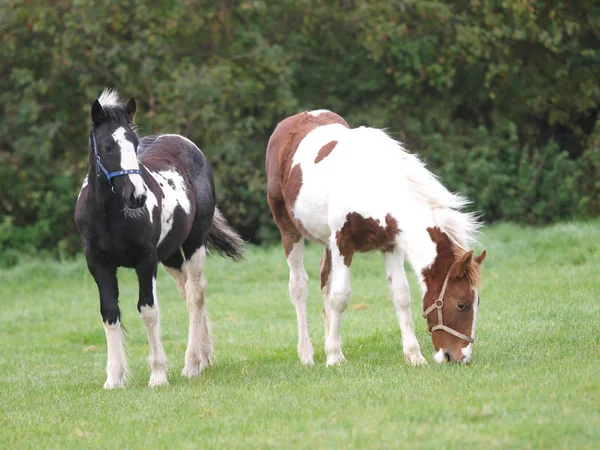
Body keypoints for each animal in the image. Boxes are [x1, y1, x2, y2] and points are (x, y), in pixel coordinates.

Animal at [75, 89, 244, 388]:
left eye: (133, 144)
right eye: (108, 146)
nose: (137, 196)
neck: (110, 216)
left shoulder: (146, 261)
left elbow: (148, 310)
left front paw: (158, 375)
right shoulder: (97, 263)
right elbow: (110, 313)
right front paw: (114, 379)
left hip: (194, 243)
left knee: (196, 294)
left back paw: (191, 365)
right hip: (171, 256)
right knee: (188, 292)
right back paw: (203, 357)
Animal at [264, 110, 486, 368]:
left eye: (477, 303)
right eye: (462, 304)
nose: (459, 357)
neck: (372, 183)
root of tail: (294, 119)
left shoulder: (390, 244)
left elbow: (401, 295)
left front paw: (414, 355)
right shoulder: (343, 243)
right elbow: (340, 297)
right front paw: (333, 357)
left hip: (326, 242)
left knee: (325, 282)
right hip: (289, 228)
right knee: (299, 286)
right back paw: (307, 354)